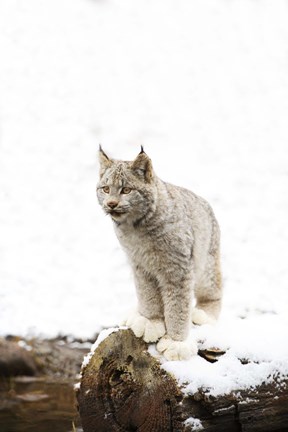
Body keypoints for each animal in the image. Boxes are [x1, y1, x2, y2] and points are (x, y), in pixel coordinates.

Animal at [97, 147, 223, 360]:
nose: (111, 204)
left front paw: (177, 343)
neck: (137, 226)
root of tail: (204, 201)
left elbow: (178, 306)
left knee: (214, 289)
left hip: (205, 261)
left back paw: (203, 314)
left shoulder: (178, 268)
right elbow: (148, 295)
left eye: (126, 190)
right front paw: (151, 321)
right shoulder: (140, 264)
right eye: (105, 189)